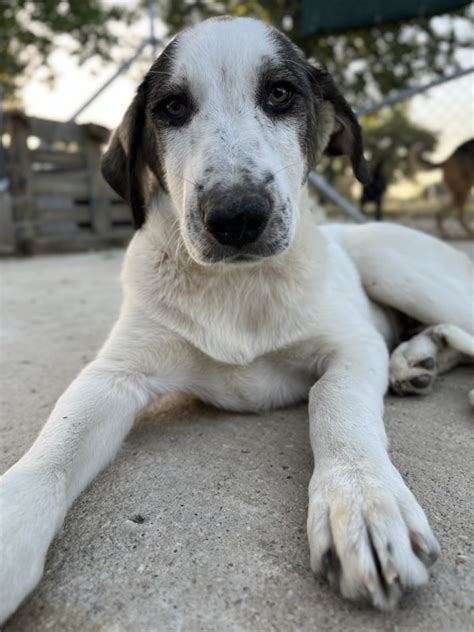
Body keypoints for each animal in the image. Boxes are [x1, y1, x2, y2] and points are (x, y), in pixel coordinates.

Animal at [0, 16, 474, 624]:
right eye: (172, 107)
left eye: (280, 94)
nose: (236, 217)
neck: (238, 286)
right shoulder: (114, 375)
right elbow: (58, 442)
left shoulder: (353, 346)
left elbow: (335, 405)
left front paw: (363, 501)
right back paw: (419, 359)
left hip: (391, 263)